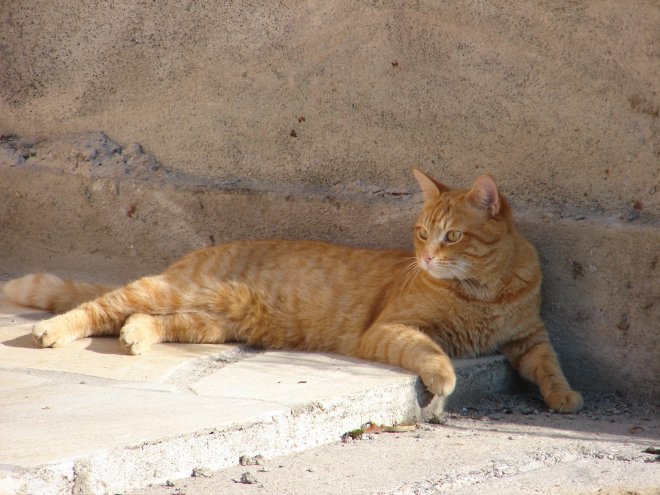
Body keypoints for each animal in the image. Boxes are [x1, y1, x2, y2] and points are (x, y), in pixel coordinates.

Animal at [3, 170, 584, 414]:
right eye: (422, 233)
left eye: (453, 236)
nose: (424, 258)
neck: (482, 292)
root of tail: (186, 259)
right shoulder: (391, 328)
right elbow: (430, 349)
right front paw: (443, 377)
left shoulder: (529, 338)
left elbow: (551, 366)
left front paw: (564, 398)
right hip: (169, 293)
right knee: (98, 307)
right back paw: (51, 330)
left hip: (213, 320)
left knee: (143, 320)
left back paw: (136, 337)